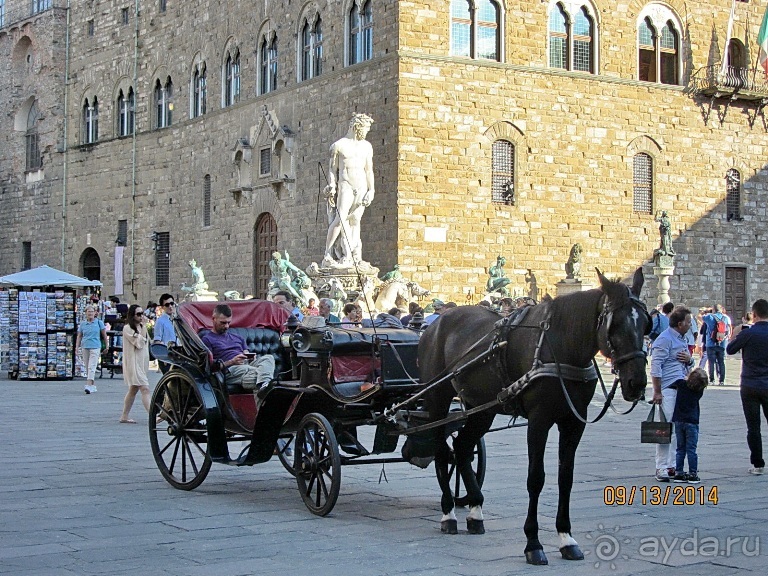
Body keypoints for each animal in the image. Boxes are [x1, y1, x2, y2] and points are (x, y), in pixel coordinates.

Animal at [404, 268, 652, 564]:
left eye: (646, 325)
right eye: (614, 326)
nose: (637, 383)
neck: (562, 343)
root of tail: (436, 323)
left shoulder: (574, 422)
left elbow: (565, 478)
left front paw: (566, 538)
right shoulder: (539, 420)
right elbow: (536, 478)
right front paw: (533, 544)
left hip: (482, 407)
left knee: (462, 448)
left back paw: (475, 512)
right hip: (437, 398)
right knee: (442, 450)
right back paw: (448, 514)